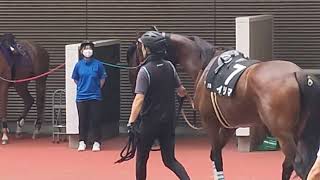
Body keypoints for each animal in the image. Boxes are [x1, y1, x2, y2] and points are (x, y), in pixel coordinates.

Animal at [128, 30, 320, 179]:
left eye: (137, 50)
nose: (134, 77)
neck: (204, 64)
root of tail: (297, 74)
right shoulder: (229, 126)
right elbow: (214, 155)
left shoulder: (210, 123)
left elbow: (217, 157)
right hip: (297, 132)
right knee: (290, 166)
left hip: (283, 133)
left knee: (299, 165)